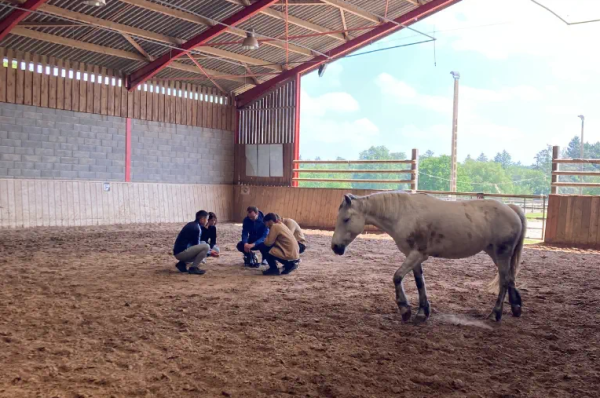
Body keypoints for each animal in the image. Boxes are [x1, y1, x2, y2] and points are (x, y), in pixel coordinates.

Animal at [332, 191, 524, 322]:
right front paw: (422, 311)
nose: (335, 247)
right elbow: (419, 282)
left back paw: (495, 313)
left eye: (346, 219)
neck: (403, 213)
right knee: (509, 278)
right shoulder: (412, 256)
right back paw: (516, 306)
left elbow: (397, 277)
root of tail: (511, 209)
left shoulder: (418, 254)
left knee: (504, 281)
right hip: (496, 254)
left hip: (502, 253)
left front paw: (405, 309)